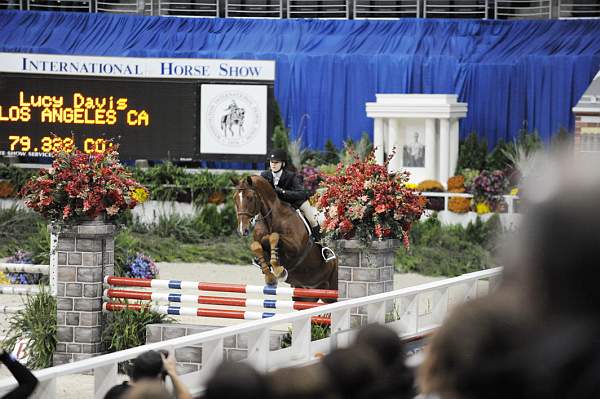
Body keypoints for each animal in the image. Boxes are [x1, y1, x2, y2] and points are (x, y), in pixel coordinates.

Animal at [231, 175, 338, 304]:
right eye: (235, 198)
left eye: (250, 198)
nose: (243, 230)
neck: (271, 220)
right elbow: (257, 245)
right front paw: (270, 278)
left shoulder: (295, 247)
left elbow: (273, 236)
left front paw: (279, 271)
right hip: (306, 294)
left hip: (332, 288)